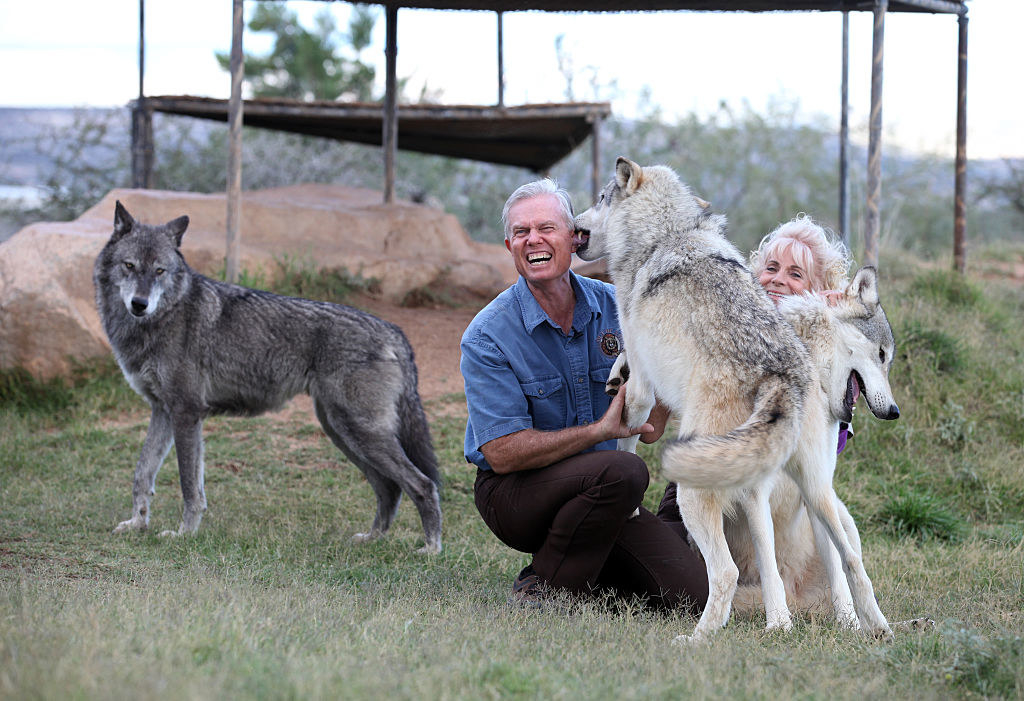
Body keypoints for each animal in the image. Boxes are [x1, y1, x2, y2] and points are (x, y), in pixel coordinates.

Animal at [96, 200, 444, 552]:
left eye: (159, 271)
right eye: (129, 265)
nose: (140, 304)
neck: (162, 318)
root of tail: (394, 332)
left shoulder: (186, 413)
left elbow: (189, 487)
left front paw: (185, 534)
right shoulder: (162, 410)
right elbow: (142, 473)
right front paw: (137, 524)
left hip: (359, 432)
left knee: (423, 484)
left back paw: (431, 548)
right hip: (341, 432)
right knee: (389, 488)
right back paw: (372, 538)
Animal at [577, 157, 897, 638]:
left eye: (600, 198)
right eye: (882, 356)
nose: (575, 223)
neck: (665, 236)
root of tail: (780, 370)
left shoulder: (644, 389)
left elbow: (626, 437)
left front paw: (629, 508)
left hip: (699, 490)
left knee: (725, 572)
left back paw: (697, 639)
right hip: (817, 490)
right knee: (853, 562)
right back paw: (873, 629)